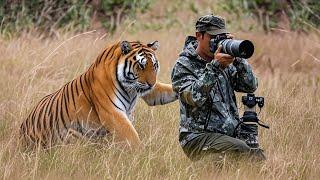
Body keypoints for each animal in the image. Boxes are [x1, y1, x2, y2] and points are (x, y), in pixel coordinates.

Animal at [19, 40, 178, 149]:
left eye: (154, 66)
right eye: (141, 65)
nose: (151, 83)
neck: (130, 88)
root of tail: (22, 128)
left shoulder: (148, 92)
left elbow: (166, 90)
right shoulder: (113, 113)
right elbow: (131, 137)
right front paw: (141, 155)